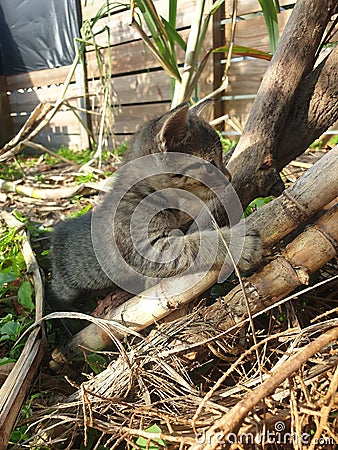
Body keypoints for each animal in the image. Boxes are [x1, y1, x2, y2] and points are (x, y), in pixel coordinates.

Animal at [50, 103, 262, 312]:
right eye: (210, 165)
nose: (229, 177)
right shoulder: (145, 246)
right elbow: (194, 244)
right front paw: (237, 241)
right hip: (64, 288)